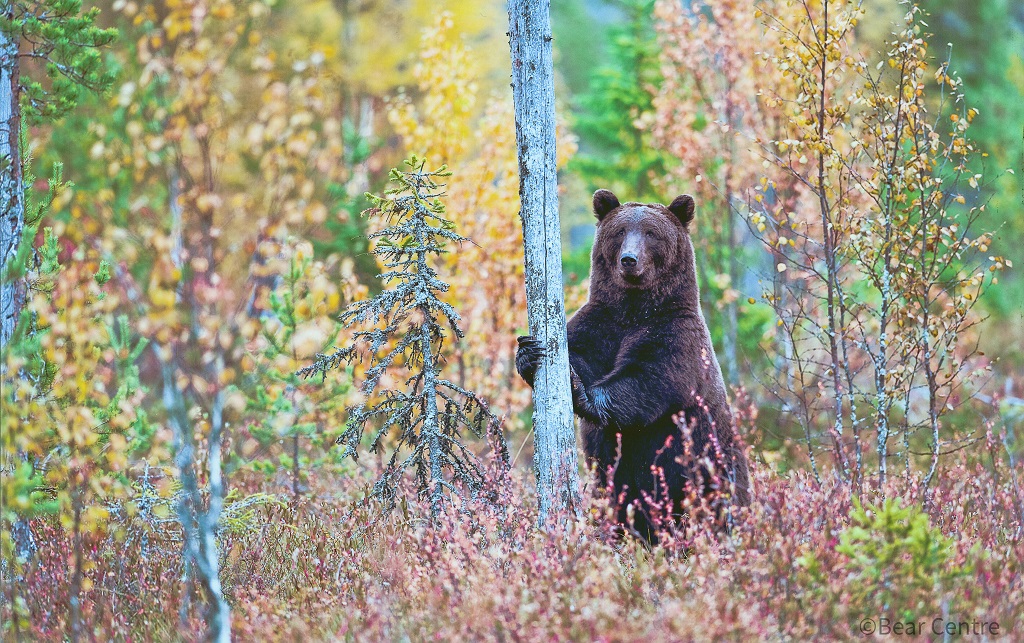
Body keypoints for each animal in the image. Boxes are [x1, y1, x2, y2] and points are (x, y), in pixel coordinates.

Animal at [520, 188, 753, 540]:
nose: (629, 259)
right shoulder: (602, 324)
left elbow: (648, 380)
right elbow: (577, 350)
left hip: (713, 466)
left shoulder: (677, 336)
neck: (634, 309)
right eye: (619, 232)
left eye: (651, 233)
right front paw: (529, 351)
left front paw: (581, 391)